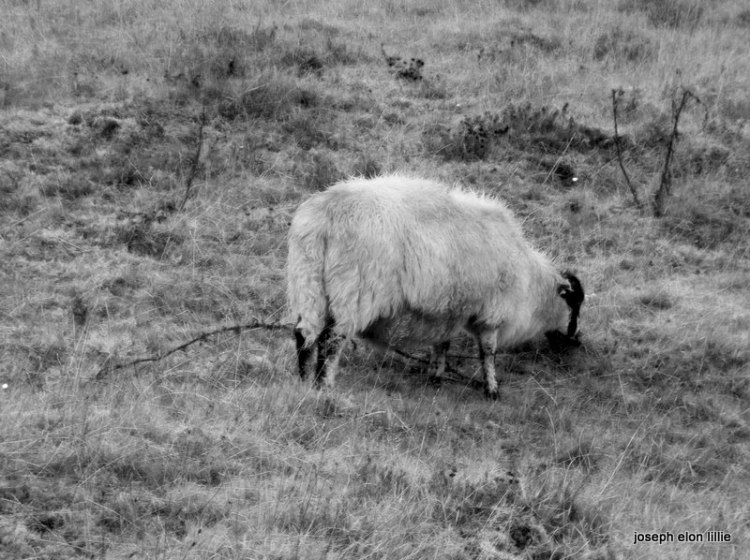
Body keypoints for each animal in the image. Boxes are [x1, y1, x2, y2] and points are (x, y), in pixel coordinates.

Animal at [286, 175, 584, 399]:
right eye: (575, 303)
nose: (576, 339)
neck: (531, 284)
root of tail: (327, 214)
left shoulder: (446, 310)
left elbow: (442, 344)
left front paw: (436, 377)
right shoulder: (492, 313)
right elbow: (487, 353)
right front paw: (492, 390)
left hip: (307, 277)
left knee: (304, 333)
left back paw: (304, 382)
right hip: (356, 291)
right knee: (332, 340)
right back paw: (324, 386)